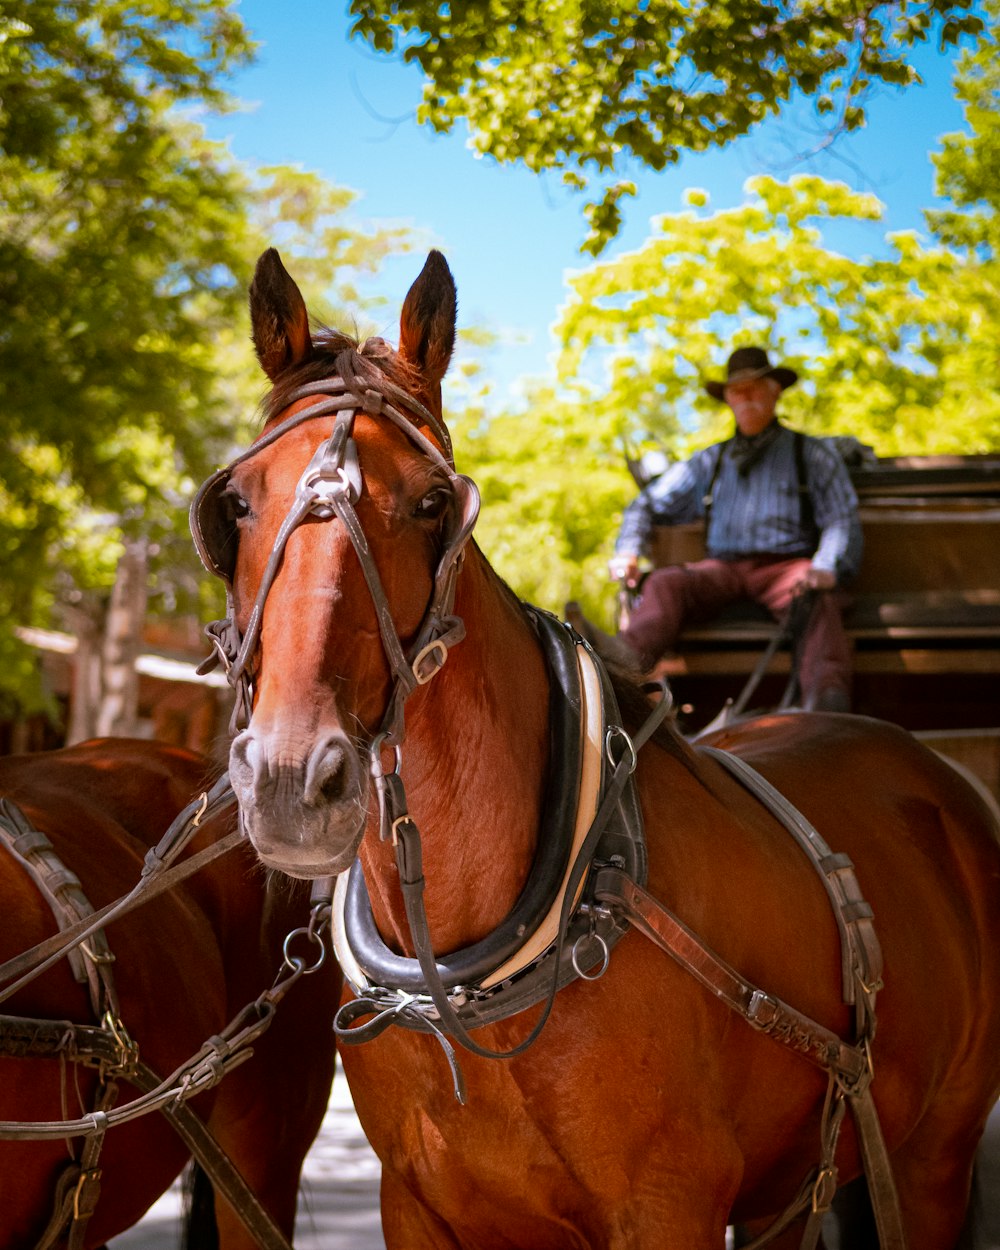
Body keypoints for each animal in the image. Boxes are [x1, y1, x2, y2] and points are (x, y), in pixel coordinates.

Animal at [193, 246, 1000, 1250]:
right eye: (234, 503)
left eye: (432, 501)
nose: (293, 778)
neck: (471, 976)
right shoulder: (414, 1205)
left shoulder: (668, 1203)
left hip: (935, 1157)